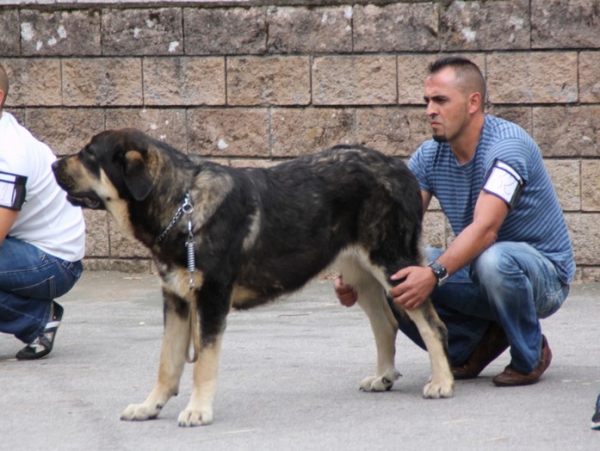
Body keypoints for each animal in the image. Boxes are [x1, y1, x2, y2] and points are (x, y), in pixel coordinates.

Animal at [52, 129, 454, 430]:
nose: (54, 162)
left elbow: (203, 364)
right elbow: (167, 363)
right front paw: (151, 406)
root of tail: (399, 167)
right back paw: (384, 376)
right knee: (386, 324)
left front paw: (198, 410)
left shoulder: (211, 300)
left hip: (394, 267)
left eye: (89, 155)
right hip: (360, 272)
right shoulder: (177, 299)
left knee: (432, 324)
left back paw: (442, 382)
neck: (182, 205)